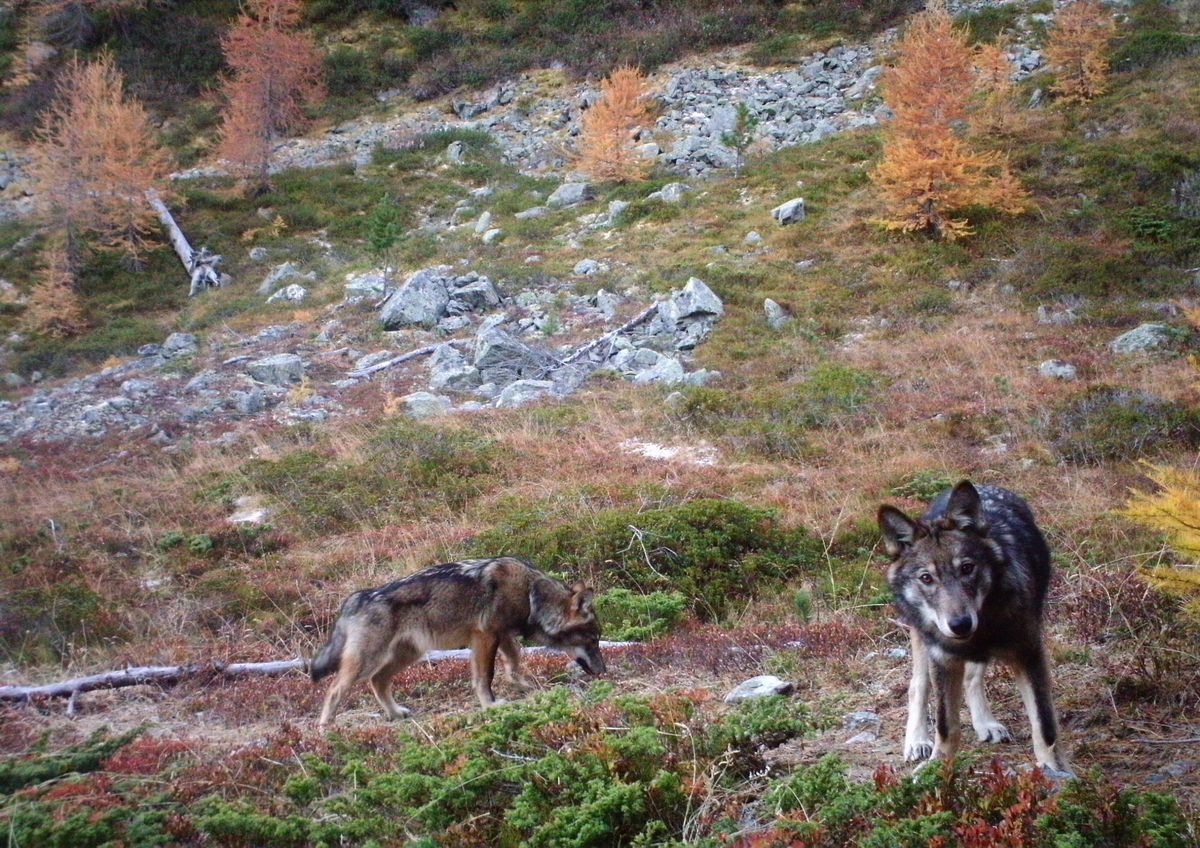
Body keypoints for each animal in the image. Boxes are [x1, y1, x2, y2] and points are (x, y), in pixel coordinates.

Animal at [309, 557, 605, 727]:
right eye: (593, 640)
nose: (604, 672)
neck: (530, 594)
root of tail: (355, 598)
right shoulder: (485, 636)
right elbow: (485, 676)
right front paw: (491, 706)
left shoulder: (502, 635)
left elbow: (513, 664)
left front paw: (525, 686)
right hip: (368, 661)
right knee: (334, 689)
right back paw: (325, 730)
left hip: (407, 655)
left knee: (378, 682)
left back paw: (395, 714)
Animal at [878, 480, 1072, 774]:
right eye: (926, 578)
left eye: (967, 568)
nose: (960, 625)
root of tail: (983, 485)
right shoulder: (943, 660)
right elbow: (946, 726)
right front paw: (936, 769)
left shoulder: (1030, 655)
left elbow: (1044, 723)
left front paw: (1053, 770)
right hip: (922, 640)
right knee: (917, 685)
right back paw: (917, 740)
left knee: (971, 678)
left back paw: (986, 724)